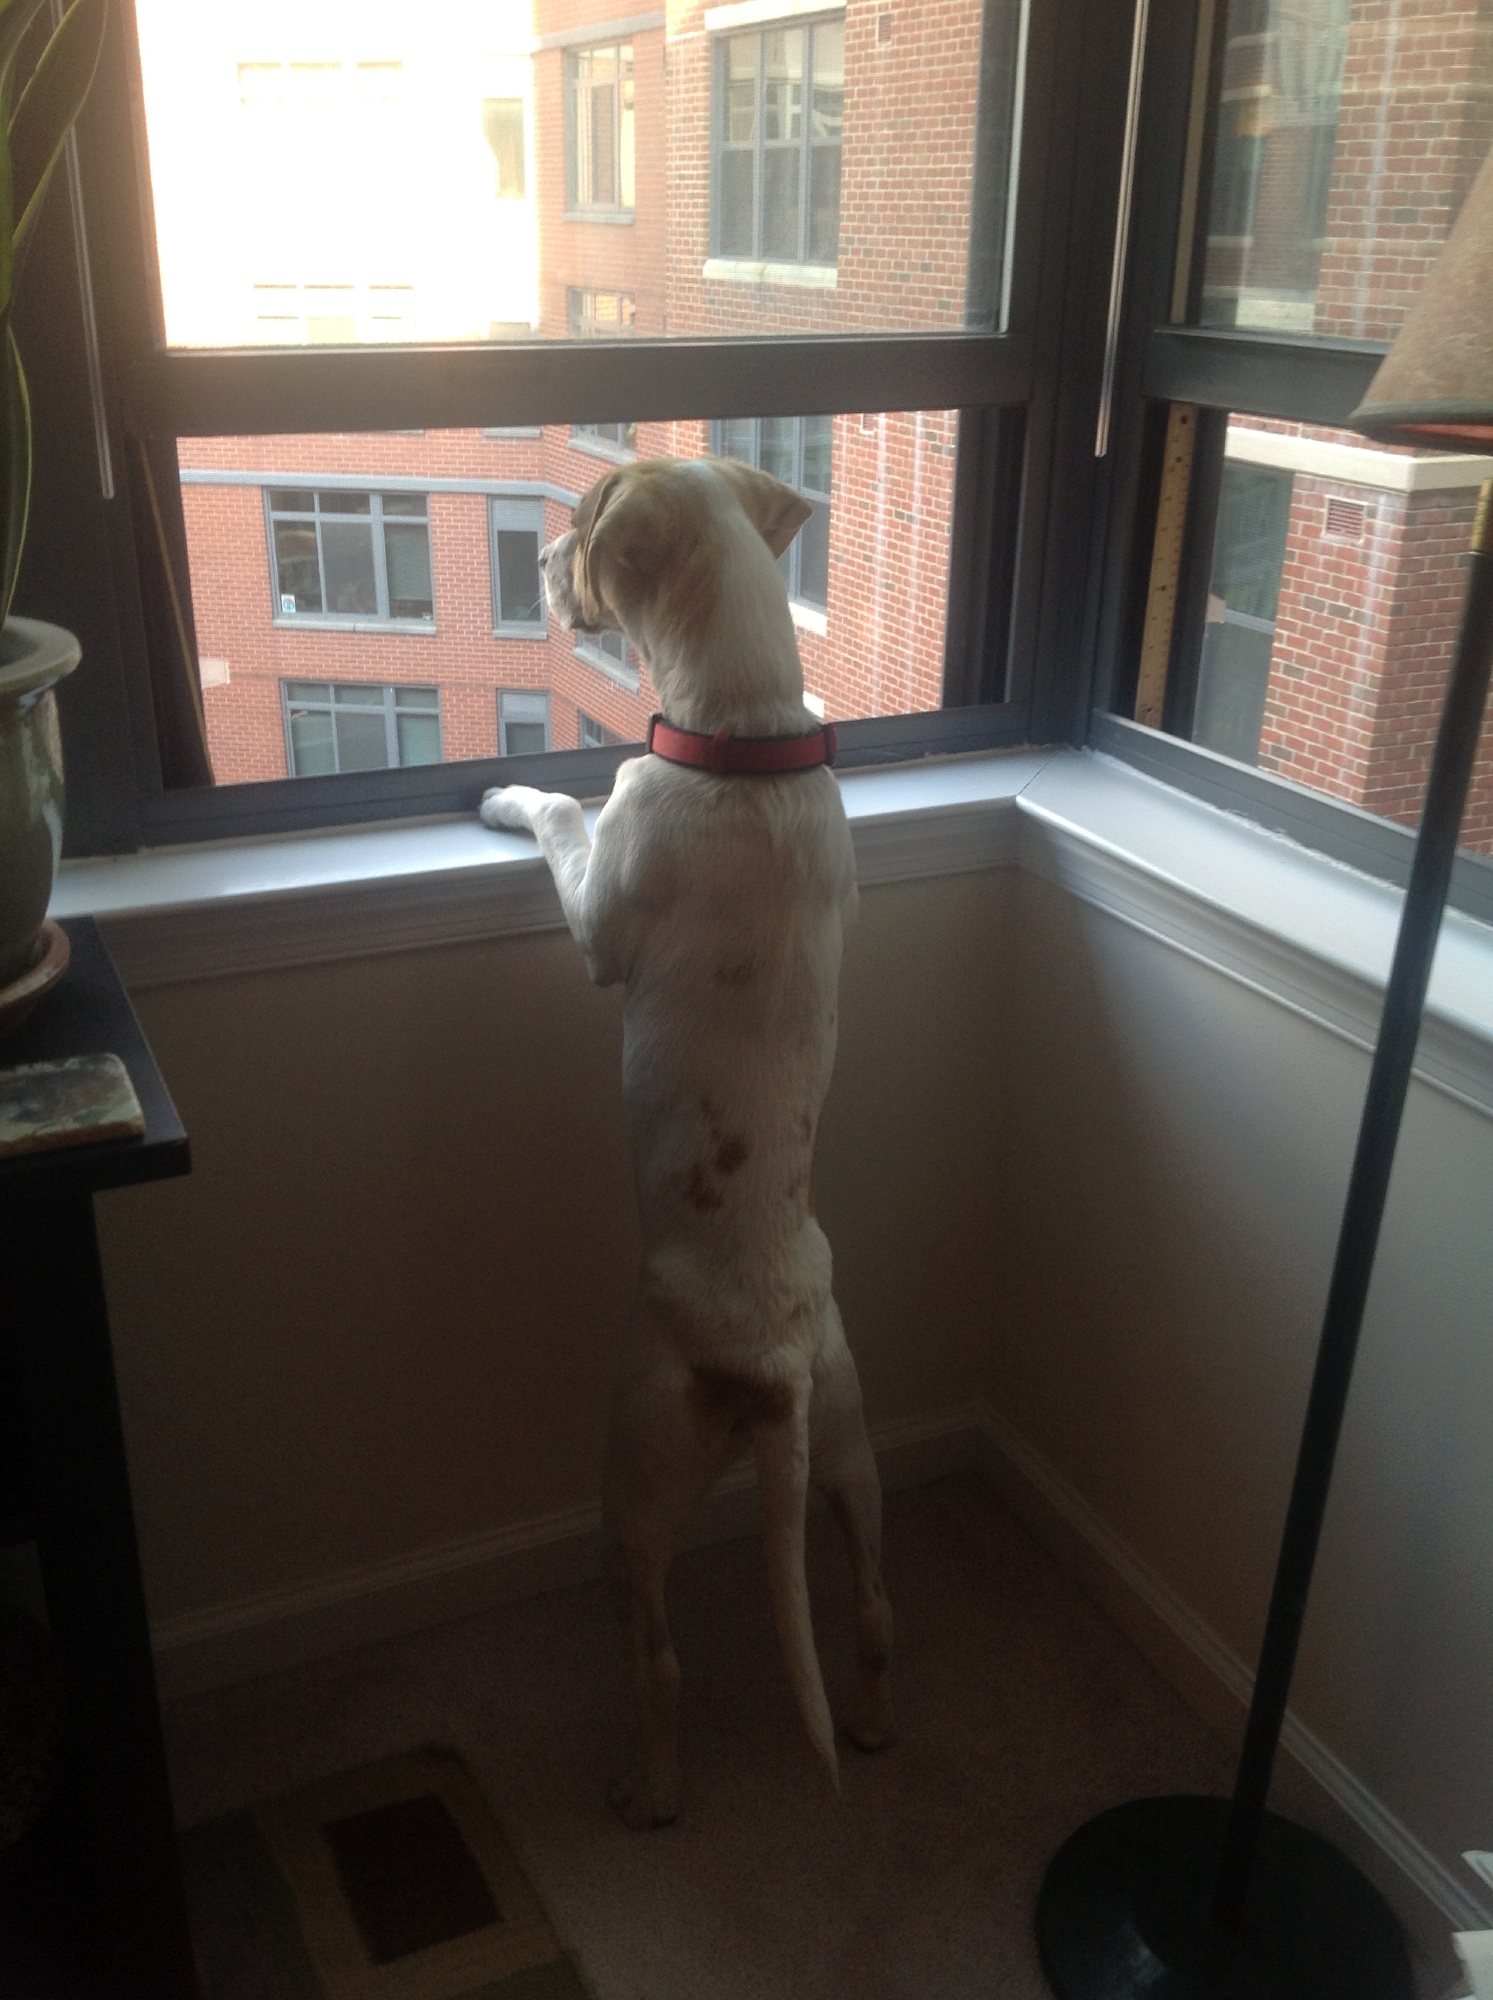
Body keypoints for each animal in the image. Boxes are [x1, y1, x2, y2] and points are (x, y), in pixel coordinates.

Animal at [480, 456, 893, 1827]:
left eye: (583, 523)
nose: (538, 557)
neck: (746, 736)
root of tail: (764, 1356)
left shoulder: (600, 909)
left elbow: (565, 809)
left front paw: (507, 789)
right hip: (850, 1435)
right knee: (874, 1605)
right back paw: (869, 1721)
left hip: (633, 1475)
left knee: (656, 1656)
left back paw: (650, 1787)